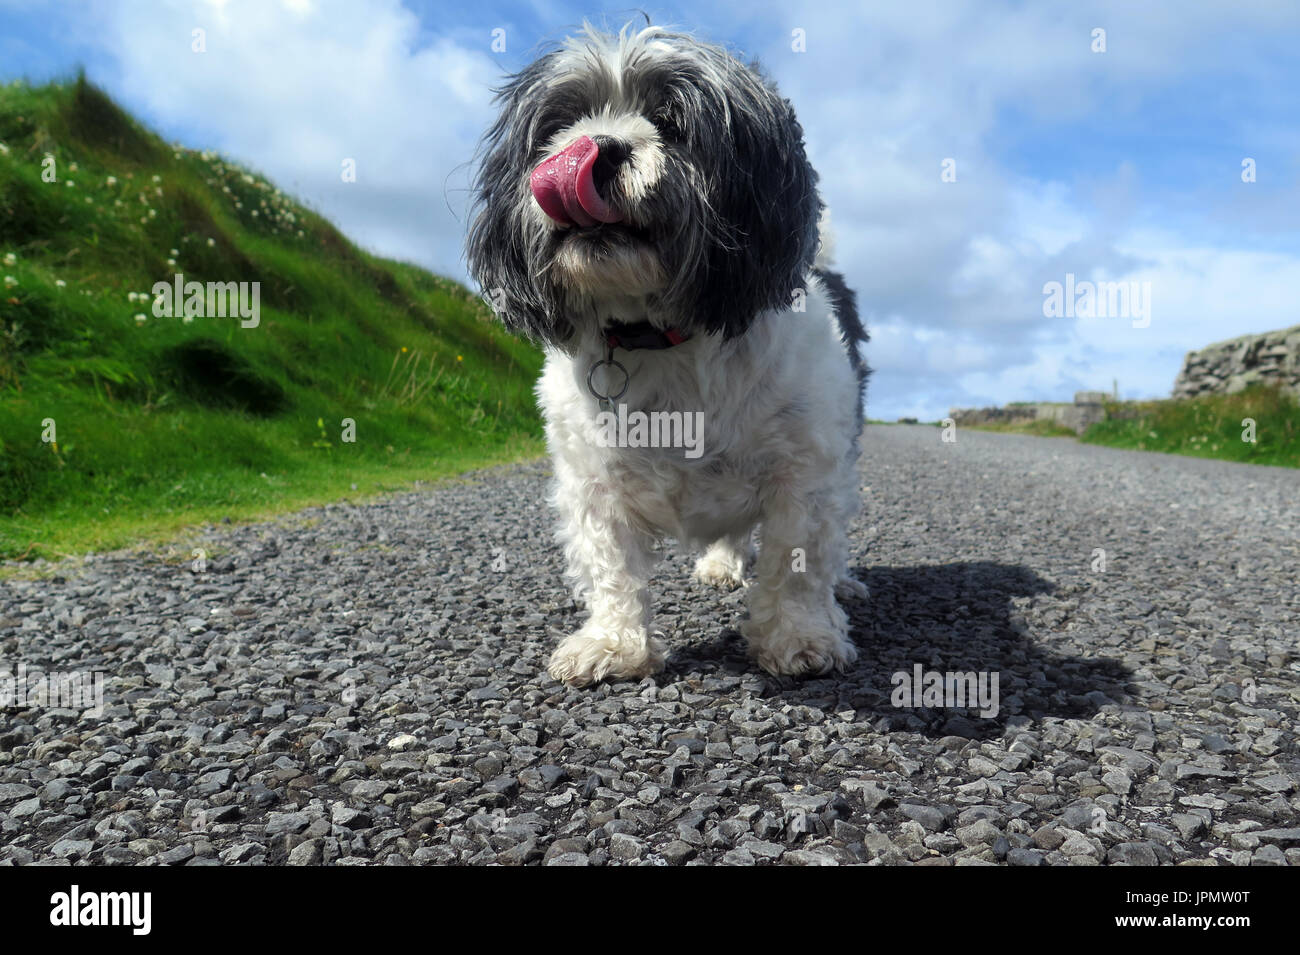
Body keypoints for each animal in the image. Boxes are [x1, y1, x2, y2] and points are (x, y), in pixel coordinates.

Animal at [467, 24, 873, 686]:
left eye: (672, 121)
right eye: (562, 122)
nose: (597, 147)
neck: (658, 335)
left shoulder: (805, 471)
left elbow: (798, 559)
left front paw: (800, 636)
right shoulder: (593, 484)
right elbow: (610, 567)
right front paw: (614, 643)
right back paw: (720, 564)